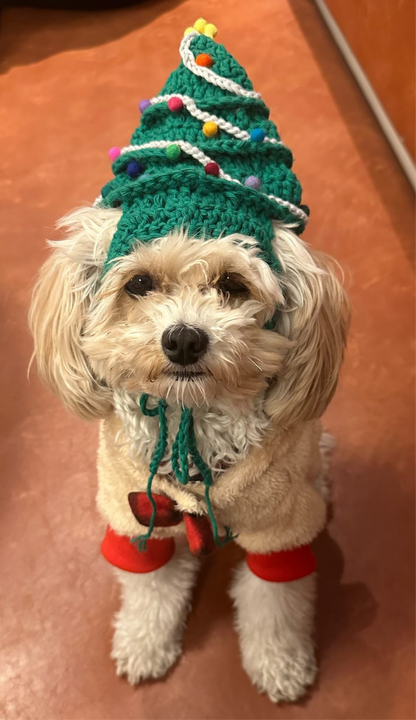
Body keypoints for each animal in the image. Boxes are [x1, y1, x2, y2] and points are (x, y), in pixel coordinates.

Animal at [27, 19, 350, 704]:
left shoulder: (280, 525)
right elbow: (149, 590)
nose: (183, 340)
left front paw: (280, 665)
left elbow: (275, 606)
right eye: (139, 284)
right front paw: (144, 646)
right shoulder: (135, 513)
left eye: (231, 285)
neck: (190, 422)